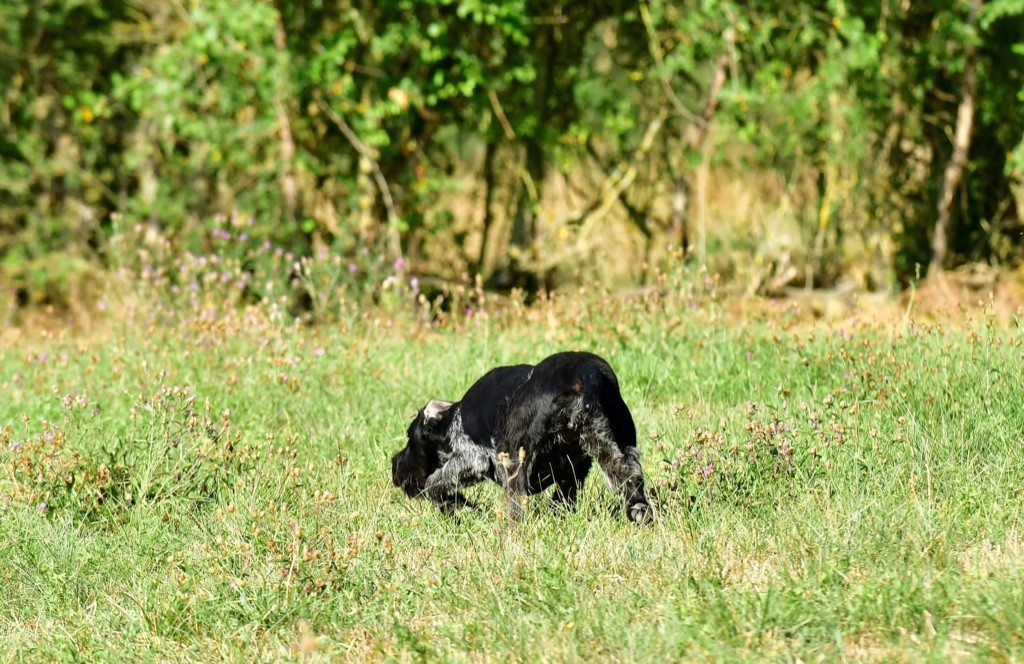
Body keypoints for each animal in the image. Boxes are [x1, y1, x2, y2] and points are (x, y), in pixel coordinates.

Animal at [387, 352, 651, 524]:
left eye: (410, 438)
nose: (394, 465)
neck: (454, 419)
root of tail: (587, 373)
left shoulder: (473, 459)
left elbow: (434, 483)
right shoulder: (574, 472)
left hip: (514, 462)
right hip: (618, 451)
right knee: (631, 484)